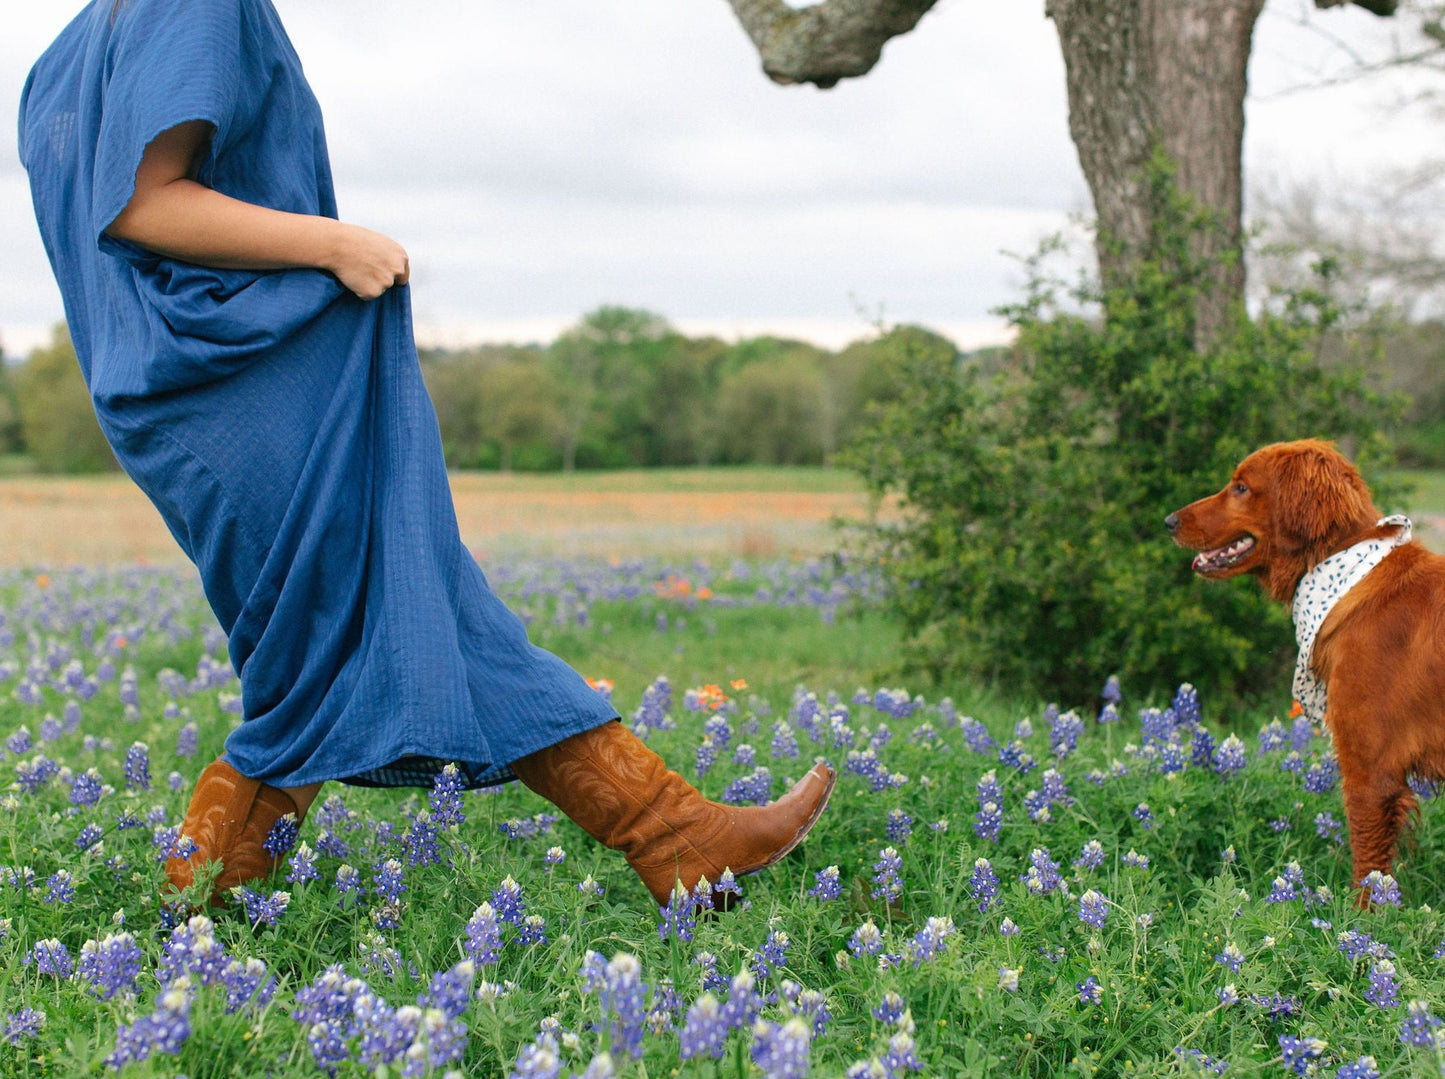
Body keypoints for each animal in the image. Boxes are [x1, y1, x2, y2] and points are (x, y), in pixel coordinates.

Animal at [1167, 442, 1439, 901]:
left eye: (1241, 487)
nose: (1168, 521)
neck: (1341, 571)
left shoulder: (1371, 771)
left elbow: (1368, 869)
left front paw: (1360, 918)